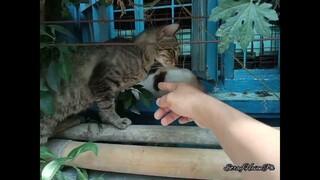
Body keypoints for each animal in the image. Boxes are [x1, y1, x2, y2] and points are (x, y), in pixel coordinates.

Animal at [40, 23, 180, 144]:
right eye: (173, 51)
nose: (177, 63)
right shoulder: (102, 83)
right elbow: (108, 107)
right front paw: (116, 121)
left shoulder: (112, 89)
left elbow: (107, 107)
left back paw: (74, 119)